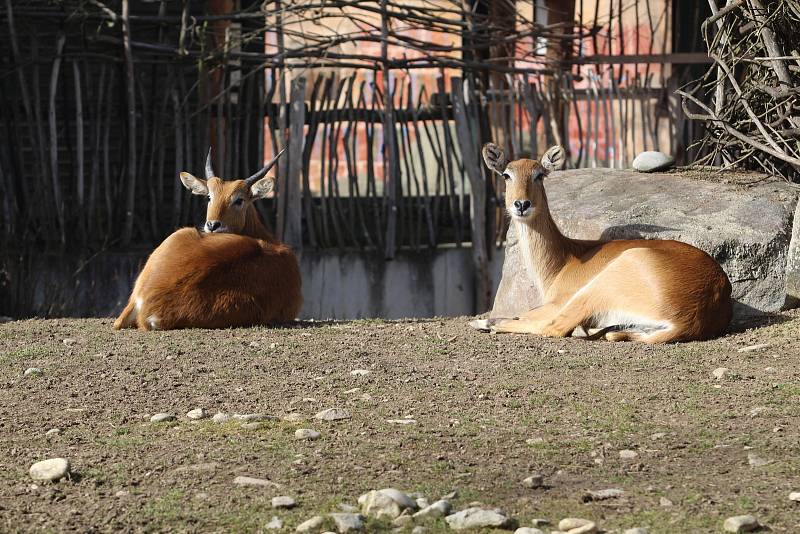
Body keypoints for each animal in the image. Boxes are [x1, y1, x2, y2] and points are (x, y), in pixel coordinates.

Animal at [472, 143, 736, 344]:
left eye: (539, 174)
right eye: (506, 175)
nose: (521, 204)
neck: (564, 260)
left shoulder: (556, 303)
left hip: (596, 289)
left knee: (554, 327)